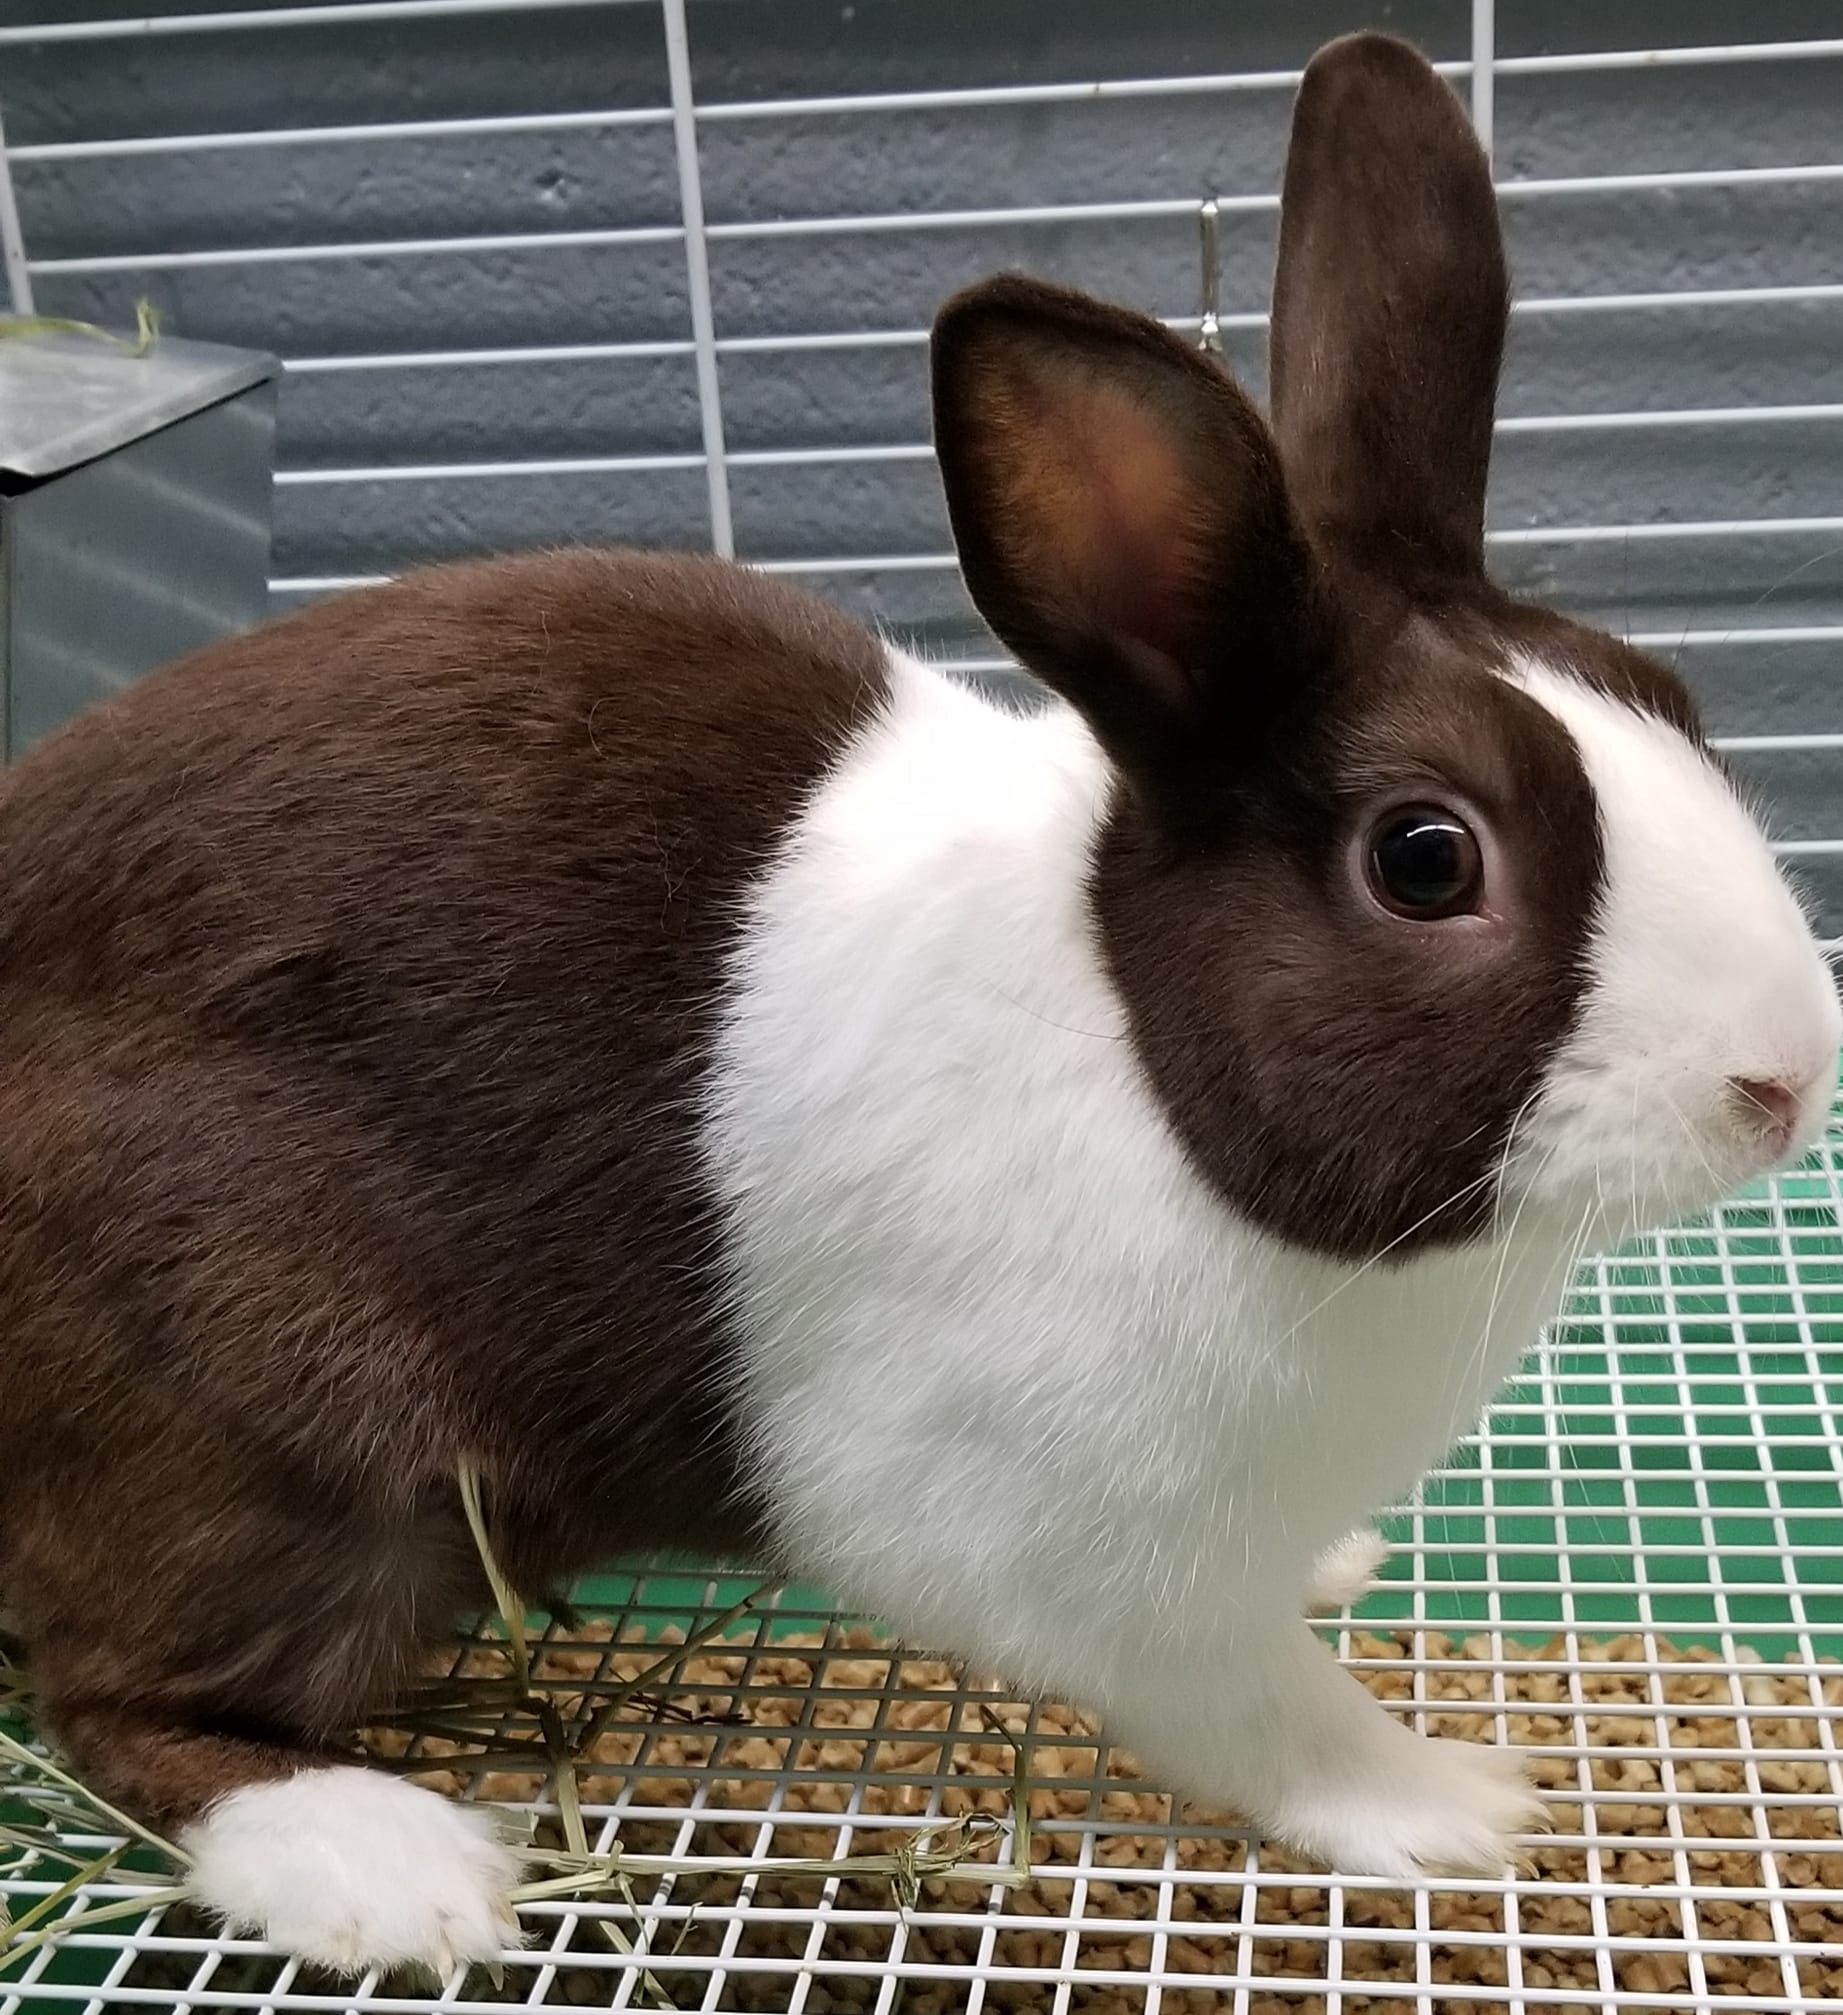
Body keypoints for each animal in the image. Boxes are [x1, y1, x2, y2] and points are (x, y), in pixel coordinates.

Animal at [1, 28, 1837, 1980]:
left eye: (1663, 695)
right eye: (1425, 859)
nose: (1786, 1076)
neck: (1141, 1061)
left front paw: (1341, 1569)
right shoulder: (1094, 1566)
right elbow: (1264, 1707)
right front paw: (1455, 1808)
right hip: (279, 1430)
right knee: (119, 1703)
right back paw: (390, 1868)